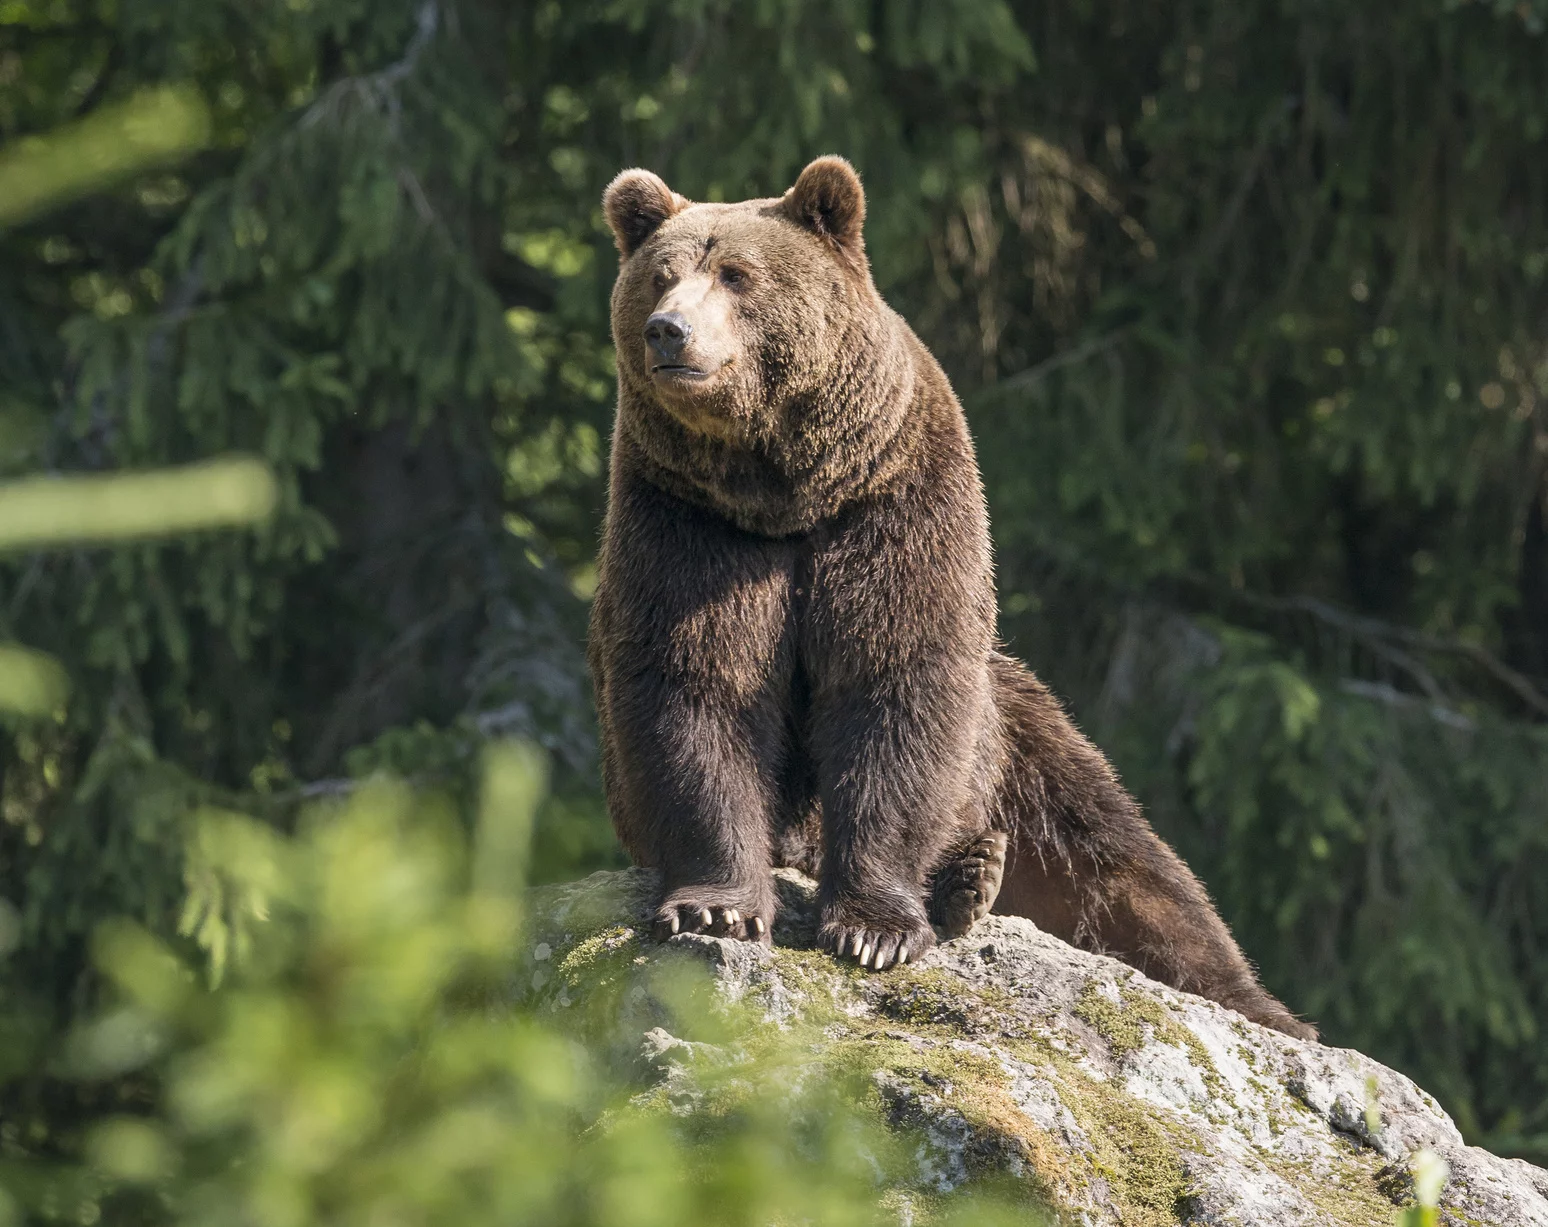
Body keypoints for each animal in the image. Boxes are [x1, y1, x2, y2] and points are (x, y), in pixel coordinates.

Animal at [585, 150, 1312, 1033]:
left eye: (737, 274)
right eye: (660, 276)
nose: (669, 330)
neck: (784, 489)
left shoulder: (893, 505)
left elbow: (898, 683)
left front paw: (874, 928)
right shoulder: (690, 525)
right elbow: (697, 683)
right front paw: (718, 904)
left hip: (1020, 732)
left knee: (1120, 858)